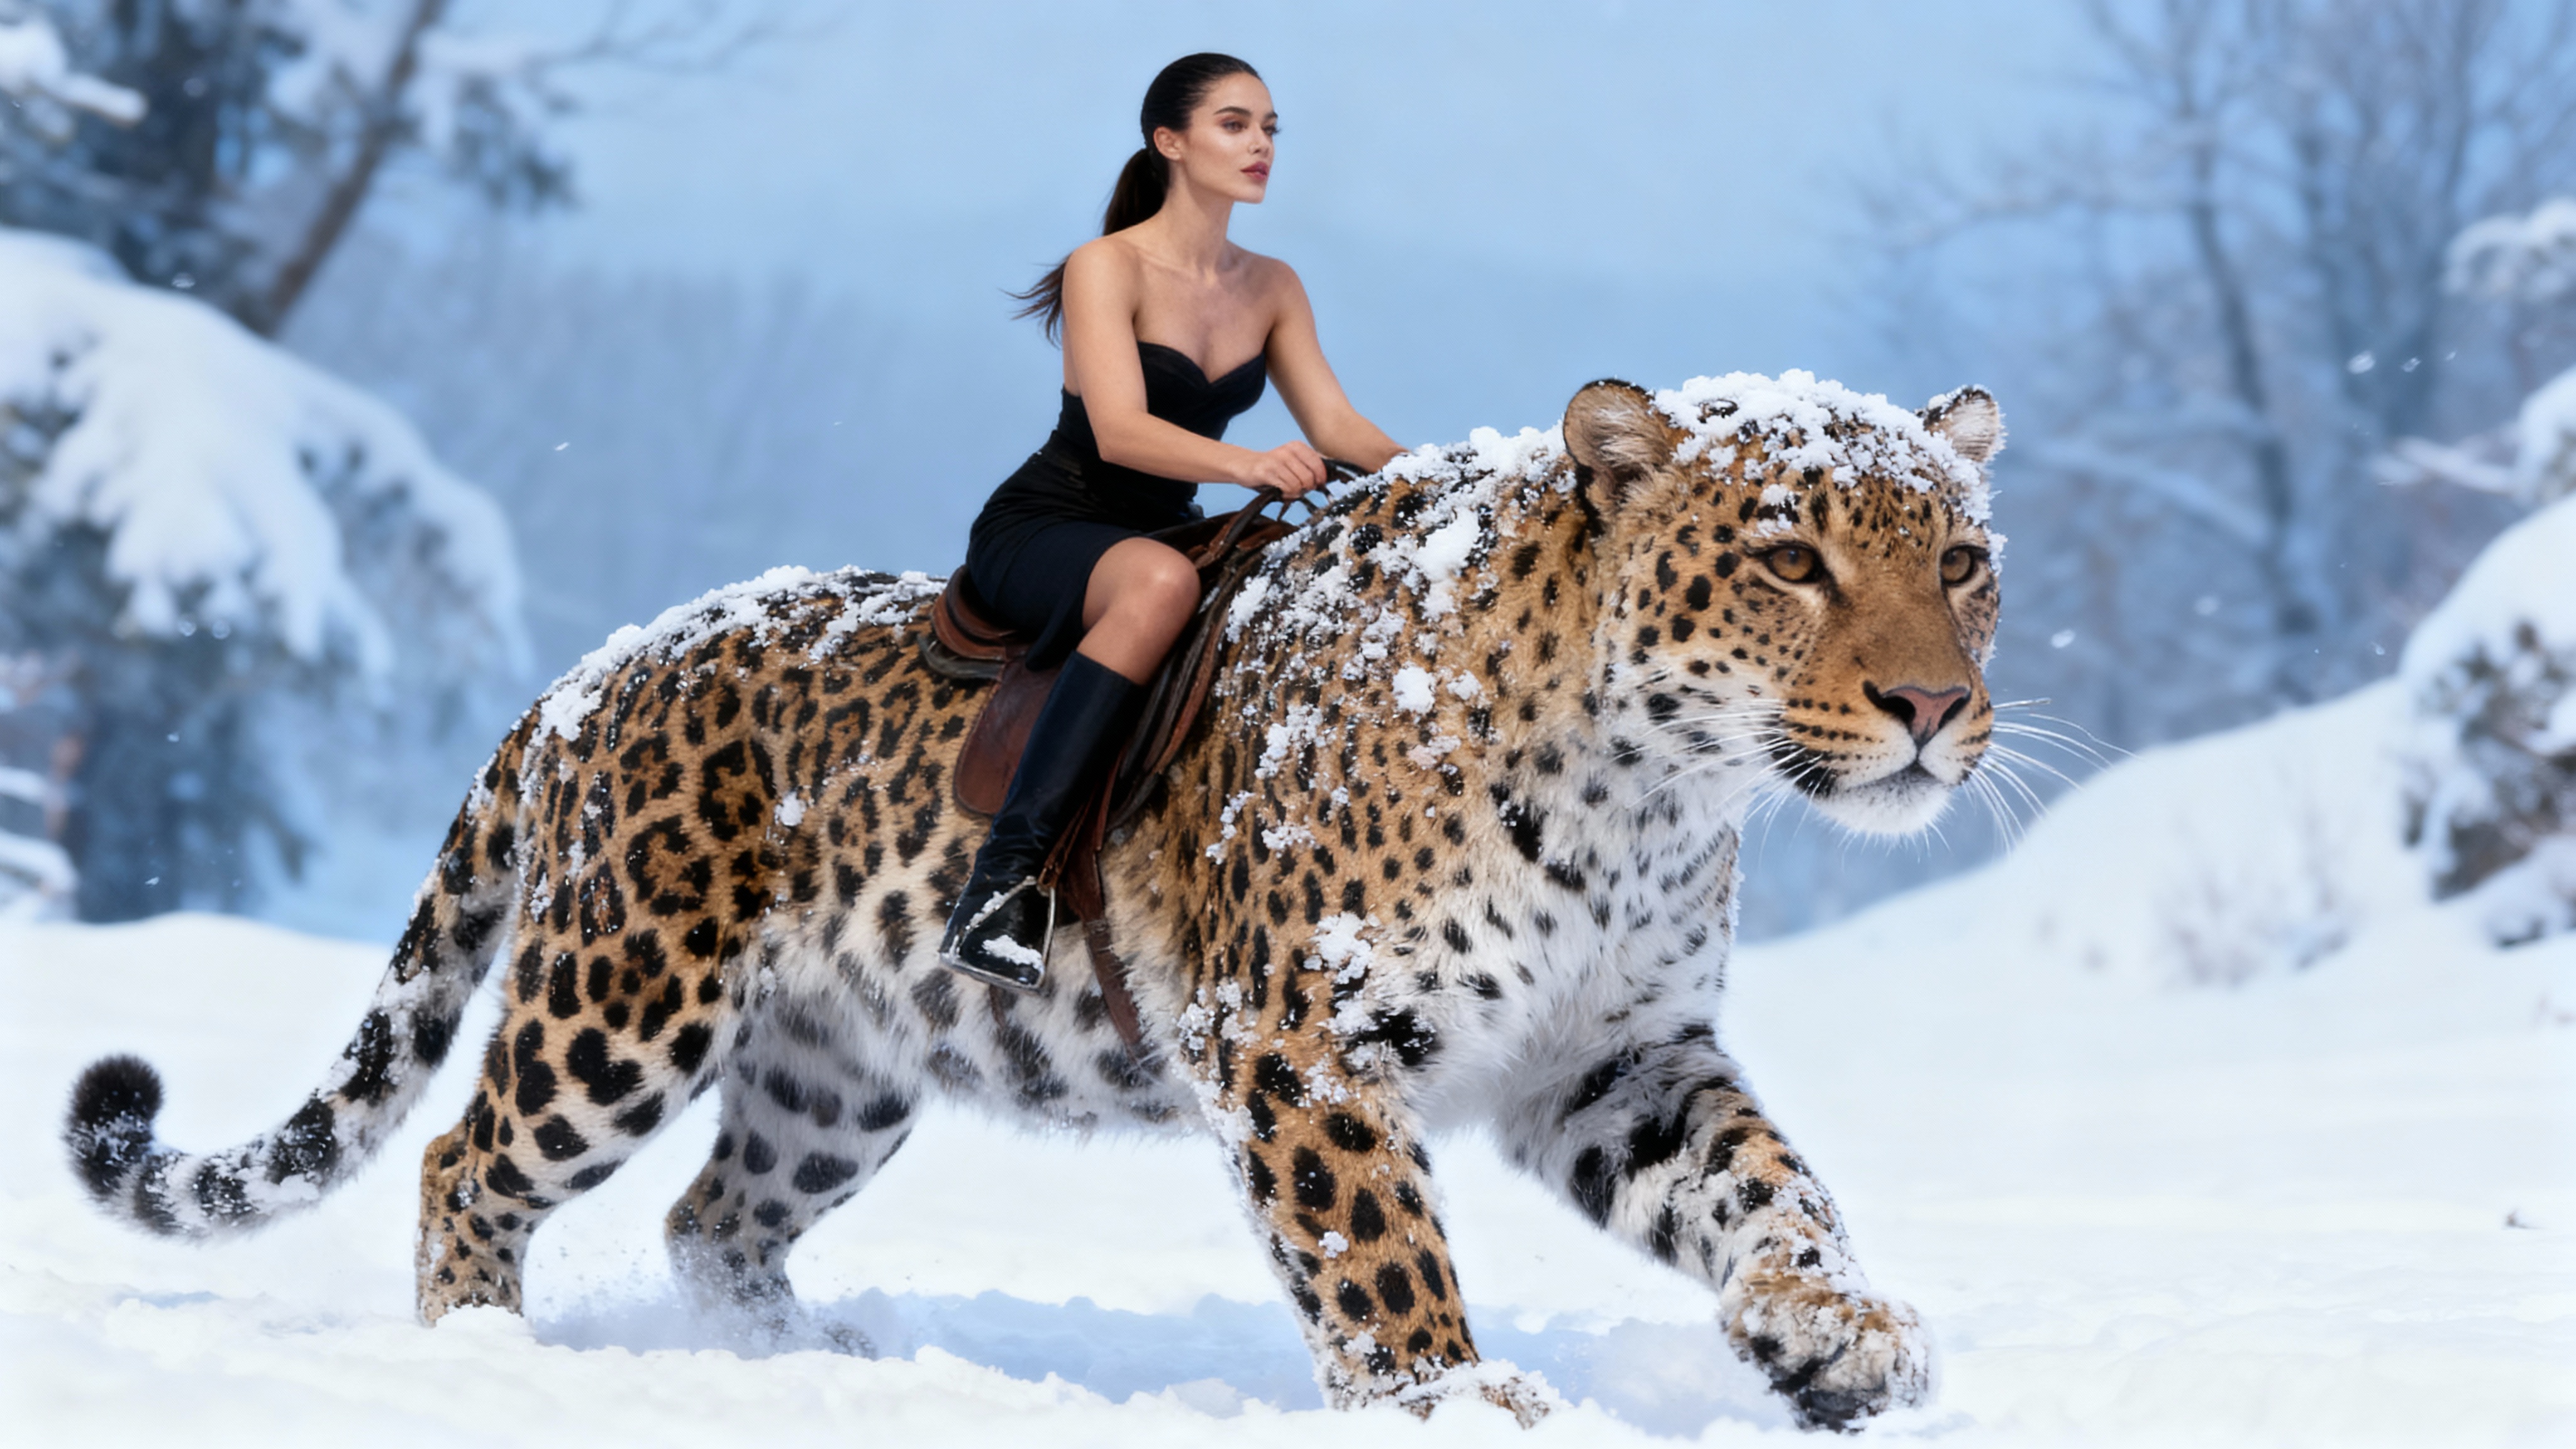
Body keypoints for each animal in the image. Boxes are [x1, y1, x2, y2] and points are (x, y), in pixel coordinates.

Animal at [63, 370, 2005, 1432]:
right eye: (1788, 557)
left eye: (1967, 560)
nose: (1933, 708)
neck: (1651, 803)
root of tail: (594, 667)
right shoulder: (1297, 1037)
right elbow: (1380, 1249)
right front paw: (1463, 1407)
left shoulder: (1612, 1056)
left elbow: (1767, 1183)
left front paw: (1839, 1335)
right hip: (625, 995)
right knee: (473, 1157)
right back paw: (489, 1357)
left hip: (837, 1073)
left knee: (715, 1217)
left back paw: (807, 1365)